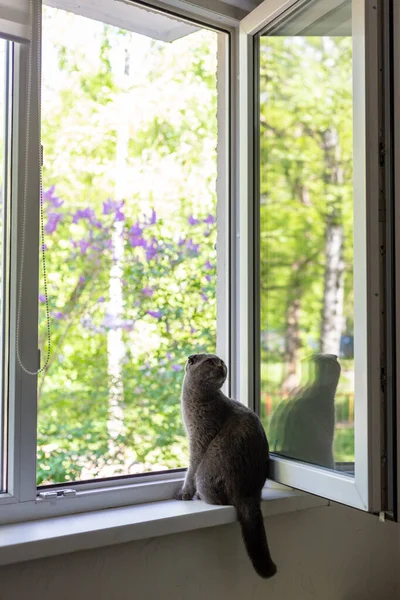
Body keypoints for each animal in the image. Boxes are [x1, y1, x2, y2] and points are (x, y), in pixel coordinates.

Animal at [177, 354, 276, 580]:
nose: (222, 364)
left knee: (219, 500)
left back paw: (200, 496)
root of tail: (247, 493)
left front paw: (184, 493)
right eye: (210, 362)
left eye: (219, 361)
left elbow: (190, 470)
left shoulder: (199, 440)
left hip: (205, 474)